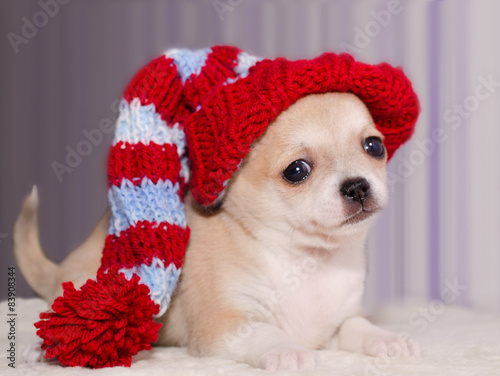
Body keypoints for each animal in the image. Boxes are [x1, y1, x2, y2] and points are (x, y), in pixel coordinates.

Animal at [12, 92, 418, 372]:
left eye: (374, 146)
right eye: (297, 170)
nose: (357, 187)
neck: (309, 258)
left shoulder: (335, 321)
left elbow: (357, 326)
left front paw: (387, 339)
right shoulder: (225, 325)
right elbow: (266, 332)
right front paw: (289, 351)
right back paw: (42, 348)